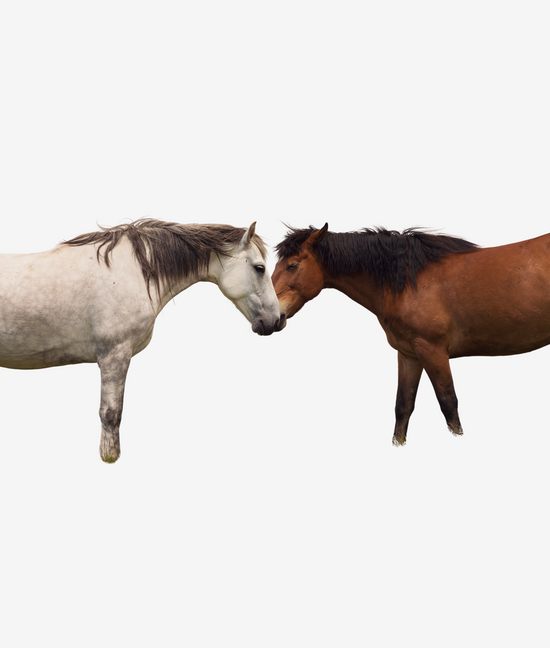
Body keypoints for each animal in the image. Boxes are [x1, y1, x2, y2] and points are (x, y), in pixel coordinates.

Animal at [0, 219, 282, 462]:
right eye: (259, 268)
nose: (277, 320)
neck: (132, 272)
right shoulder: (114, 356)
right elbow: (110, 413)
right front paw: (109, 457)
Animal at [272, 223, 550, 445]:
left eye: (293, 265)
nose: (271, 316)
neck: (406, 282)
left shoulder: (433, 351)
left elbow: (449, 404)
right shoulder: (409, 354)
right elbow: (403, 405)